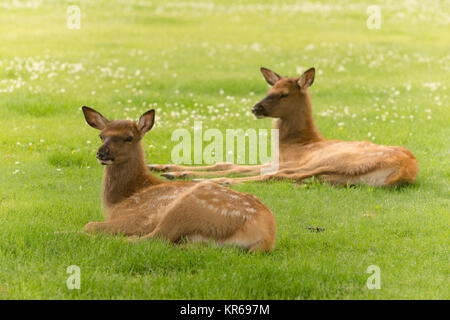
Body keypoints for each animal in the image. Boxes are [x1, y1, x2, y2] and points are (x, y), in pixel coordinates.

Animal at [82, 106, 276, 251]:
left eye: (128, 137)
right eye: (101, 136)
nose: (101, 153)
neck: (119, 201)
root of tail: (267, 236)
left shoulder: (143, 217)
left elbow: (90, 224)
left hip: (185, 208)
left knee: (154, 238)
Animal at [152, 67, 418, 188]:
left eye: (284, 94)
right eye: (270, 88)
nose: (255, 108)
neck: (295, 142)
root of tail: (406, 170)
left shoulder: (289, 160)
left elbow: (240, 168)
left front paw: (180, 173)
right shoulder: (274, 159)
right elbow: (227, 163)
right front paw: (164, 167)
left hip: (336, 160)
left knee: (281, 176)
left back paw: (213, 182)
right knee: (291, 177)